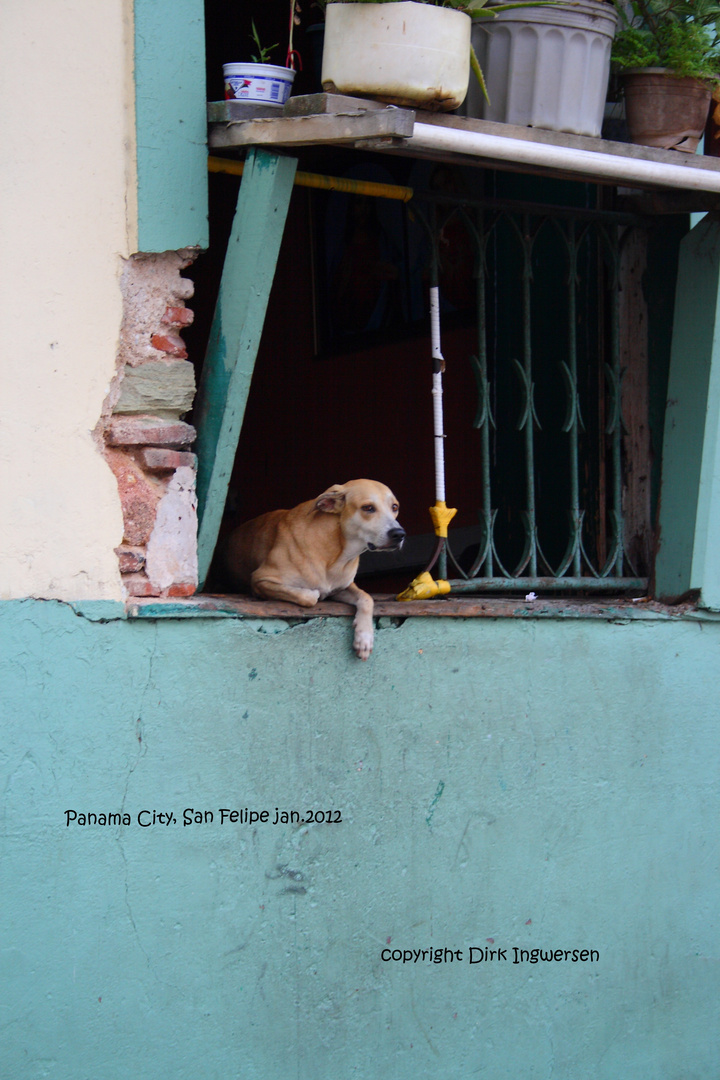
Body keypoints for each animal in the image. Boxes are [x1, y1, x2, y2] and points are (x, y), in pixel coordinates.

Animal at [225, 479, 405, 656]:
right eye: (368, 508)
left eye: (394, 507)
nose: (399, 534)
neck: (336, 553)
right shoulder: (260, 579)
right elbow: (309, 597)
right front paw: (313, 593)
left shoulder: (342, 587)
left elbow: (367, 598)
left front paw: (365, 637)